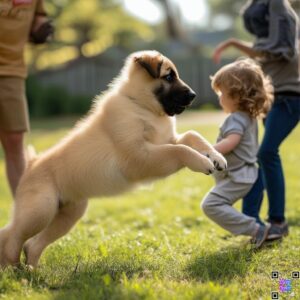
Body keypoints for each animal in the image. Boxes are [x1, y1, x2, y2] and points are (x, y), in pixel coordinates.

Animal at [0, 50, 226, 268]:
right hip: (41, 210)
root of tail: (31, 165)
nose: (193, 95)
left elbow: (191, 136)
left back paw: (32, 271)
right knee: (13, 235)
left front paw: (216, 157)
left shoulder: (165, 140)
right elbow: (179, 150)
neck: (140, 105)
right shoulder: (138, 158)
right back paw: (12, 267)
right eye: (168, 76)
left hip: (68, 214)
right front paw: (203, 162)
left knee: (31, 244)